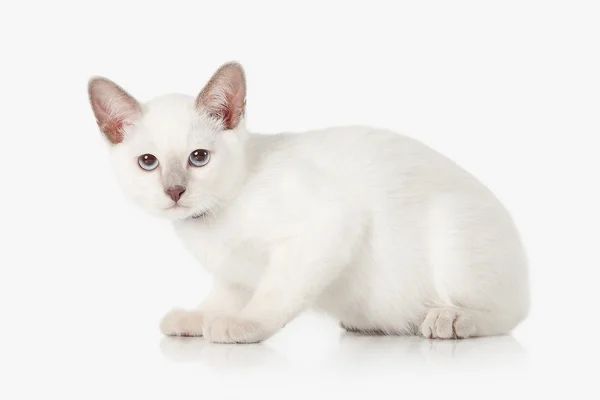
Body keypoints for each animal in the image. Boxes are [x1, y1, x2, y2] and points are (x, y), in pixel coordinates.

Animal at [86, 61, 528, 342]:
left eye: (198, 158)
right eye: (148, 163)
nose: (174, 191)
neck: (214, 220)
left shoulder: (326, 227)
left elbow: (272, 296)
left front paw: (242, 325)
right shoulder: (233, 273)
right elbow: (224, 296)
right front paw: (200, 316)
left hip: (452, 235)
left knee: (510, 313)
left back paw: (450, 319)